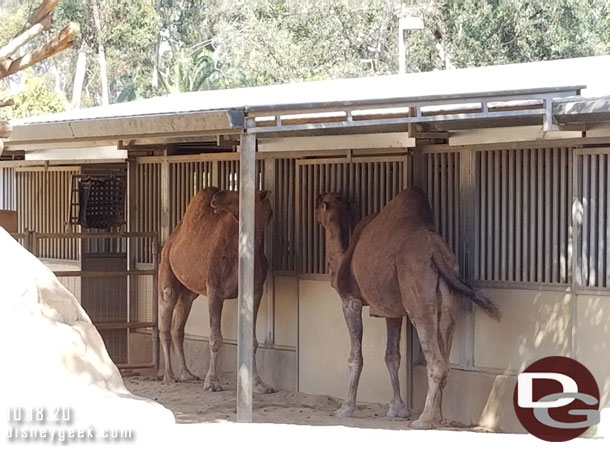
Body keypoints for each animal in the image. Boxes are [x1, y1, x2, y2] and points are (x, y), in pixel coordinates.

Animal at [157, 186, 274, 394]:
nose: (217, 198)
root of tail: (171, 239)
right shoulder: (215, 289)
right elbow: (215, 338)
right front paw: (212, 382)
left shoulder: (256, 291)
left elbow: (252, 341)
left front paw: (259, 384)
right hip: (166, 268)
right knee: (166, 313)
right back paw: (169, 377)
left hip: (189, 291)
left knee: (178, 327)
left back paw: (187, 373)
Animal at [314, 186, 498, 430]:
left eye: (320, 202)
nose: (315, 213)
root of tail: (435, 252)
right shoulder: (391, 311)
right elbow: (392, 356)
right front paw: (398, 409)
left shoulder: (350, 301)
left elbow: (355, 358)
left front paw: (345, 409)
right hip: (448, 302)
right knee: (446, 351)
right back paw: (438, 417)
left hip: (417, 297)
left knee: (436, 360)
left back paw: (423, 420)